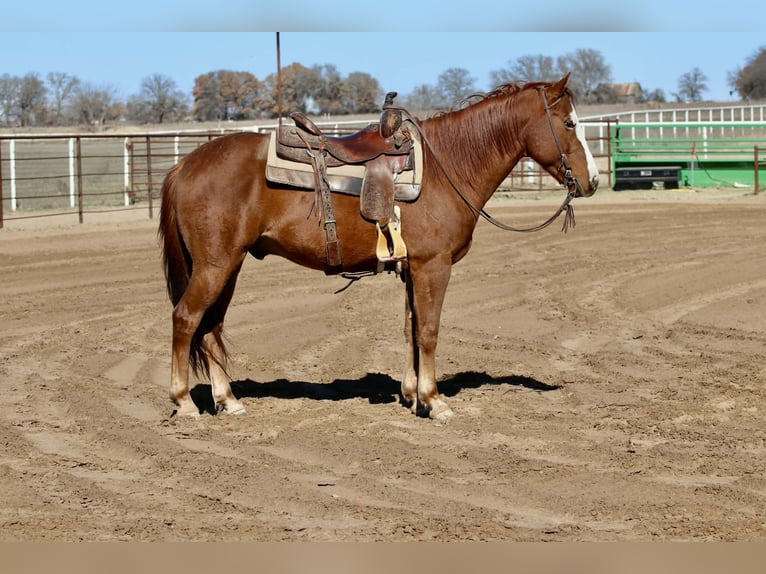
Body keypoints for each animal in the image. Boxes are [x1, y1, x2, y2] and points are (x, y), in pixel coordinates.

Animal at [158, 73, 599, 421]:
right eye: (569, 122)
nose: (592, 180)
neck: (448, 166)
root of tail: (186, 165)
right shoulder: (433, 266)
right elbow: (430, 331)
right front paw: (435, 401)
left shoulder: (412, 268)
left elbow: (411, 329)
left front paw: (412, 395)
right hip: (215, 266)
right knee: (186, 318)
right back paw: (185, 402)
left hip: (227, 266)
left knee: (211, 325)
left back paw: (228, 400)